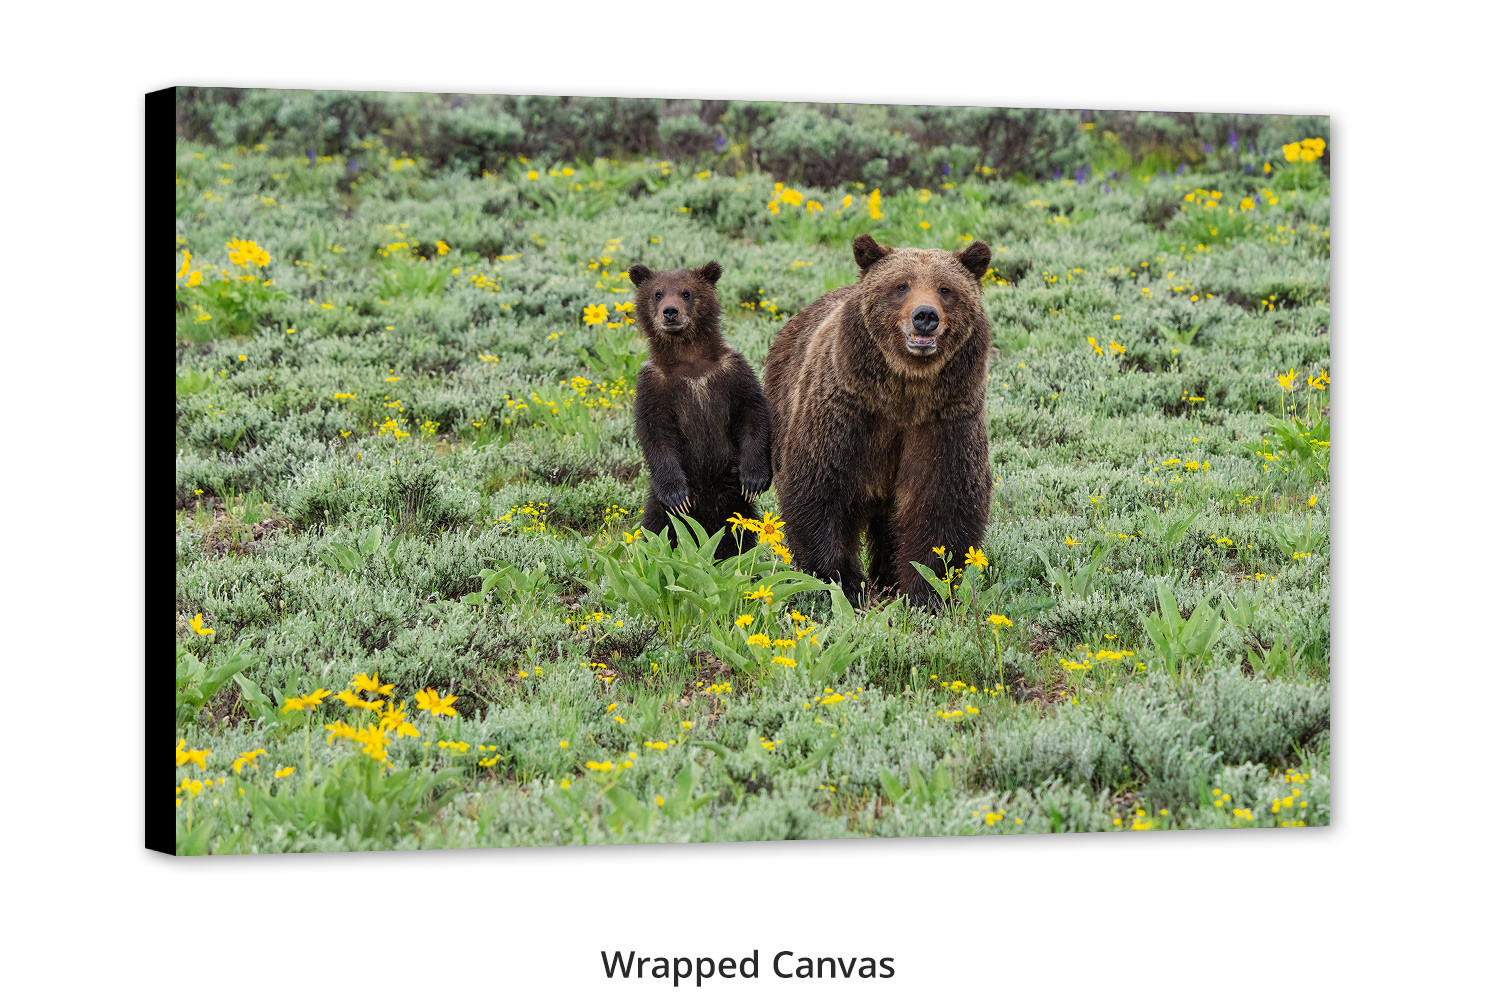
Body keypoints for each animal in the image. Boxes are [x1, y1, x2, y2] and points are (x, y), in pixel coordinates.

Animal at [628, 260, 773, 559]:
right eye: (657, 293)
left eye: (686, 293)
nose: (670, 311)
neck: (690, 360)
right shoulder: (654, 386)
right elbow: (655, 433)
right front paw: (675, 494)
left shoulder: (732, 373)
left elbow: (752, 413)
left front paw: (754, 477)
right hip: (664, 506)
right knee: (658, 527)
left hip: (733, 500)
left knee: (738, 536)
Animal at [762, 233, 993, 607]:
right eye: (901, 285)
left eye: (945, 289)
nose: (925, 316)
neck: (904, 396)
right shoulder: (848, 413)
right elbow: (820, 489)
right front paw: (843, 583)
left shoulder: (946, 420)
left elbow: (943, 501)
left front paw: (925, 591)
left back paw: (888, 579)